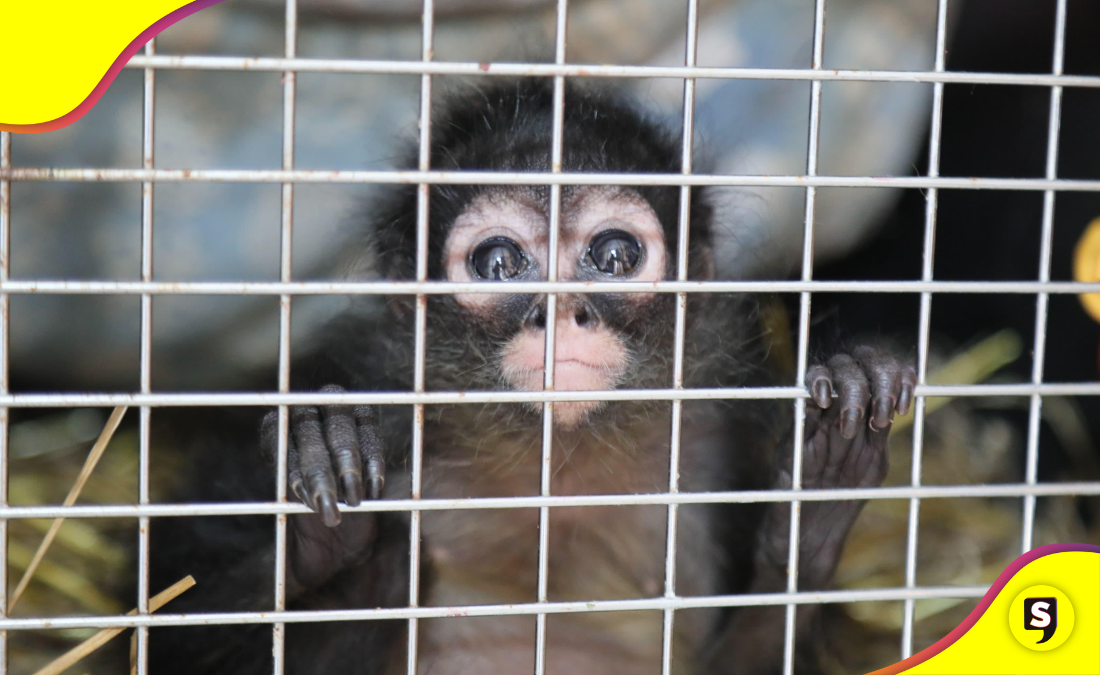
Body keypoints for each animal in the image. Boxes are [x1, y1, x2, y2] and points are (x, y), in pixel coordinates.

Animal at [144, 78, 916, 675]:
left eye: (614, 255)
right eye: (499, 263)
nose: (560, 310)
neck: (557, 460)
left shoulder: (721, 433)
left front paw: (820, 489)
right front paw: (331, 508)